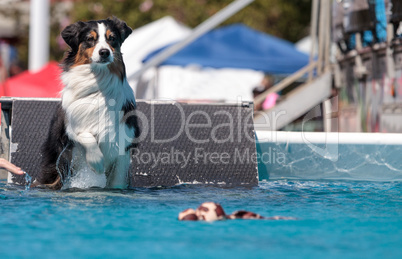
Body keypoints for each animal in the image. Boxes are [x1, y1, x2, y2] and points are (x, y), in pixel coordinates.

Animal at [38, 17, 138, 190]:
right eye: (90, 39)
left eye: (112, 38)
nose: (104, 52)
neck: (98, 86)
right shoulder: (70, 127)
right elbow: (86, 135)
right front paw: (97, 162)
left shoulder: (124, 142)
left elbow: (117, 180)